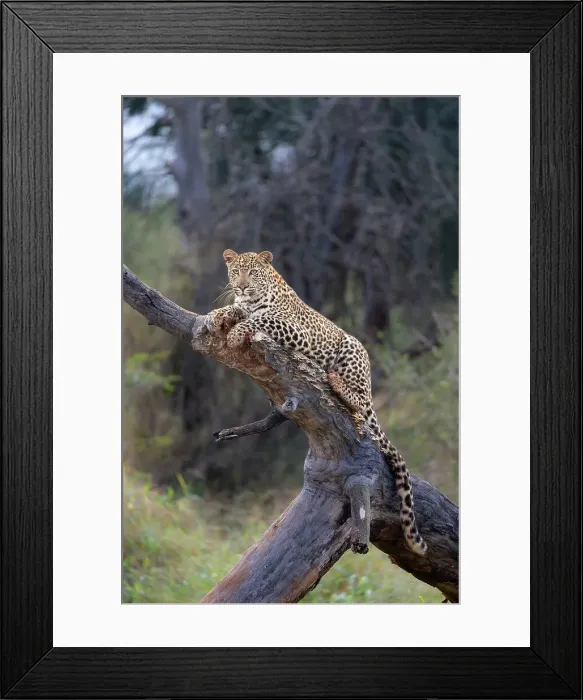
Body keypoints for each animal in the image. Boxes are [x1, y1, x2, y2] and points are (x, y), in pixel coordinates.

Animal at [206, 249, 427, 556]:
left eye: (252, 273)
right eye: (236, 271)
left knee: (359, 402)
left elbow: (260, 320)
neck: (253, 298)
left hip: (352, 350)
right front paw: (216, 314)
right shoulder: (243, 305)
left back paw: (336, 382)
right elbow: (235, 311)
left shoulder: (294, 329)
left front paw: (237, 332)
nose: (241, 286)